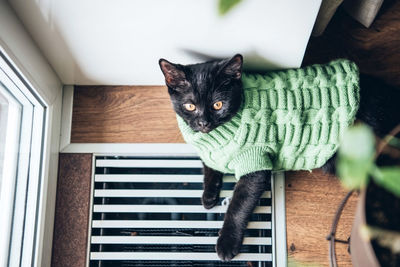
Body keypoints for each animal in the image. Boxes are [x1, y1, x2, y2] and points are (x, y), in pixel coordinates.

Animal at [158, 54, 400, 262]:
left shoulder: (255, 164)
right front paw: (208, 195)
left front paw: (227, 242)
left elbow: (238, 205)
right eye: (190, 106)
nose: (204, 123)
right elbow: (209, 166)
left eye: (218, 105)